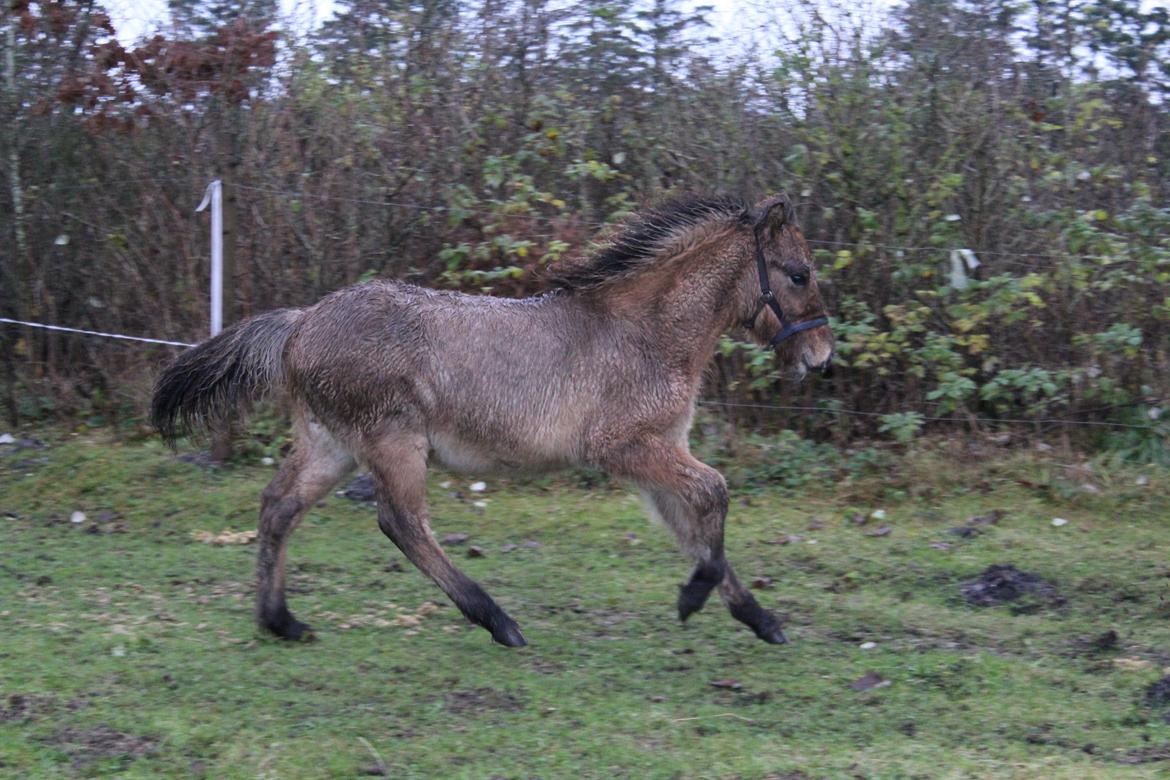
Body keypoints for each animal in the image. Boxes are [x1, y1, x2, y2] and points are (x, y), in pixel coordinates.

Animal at [153, 194, 833, 645]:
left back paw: (281, 621)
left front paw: (759, 618)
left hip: (331, 444)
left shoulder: (657, 452)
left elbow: (696, 526)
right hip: (393, 441)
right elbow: (715, 494)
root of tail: (302, 321)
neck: (646, 333)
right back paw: (498, 620)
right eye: (798, 274)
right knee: (402, 524)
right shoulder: (626, 447)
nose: (821, 356)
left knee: (279, 505)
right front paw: (693, 598)